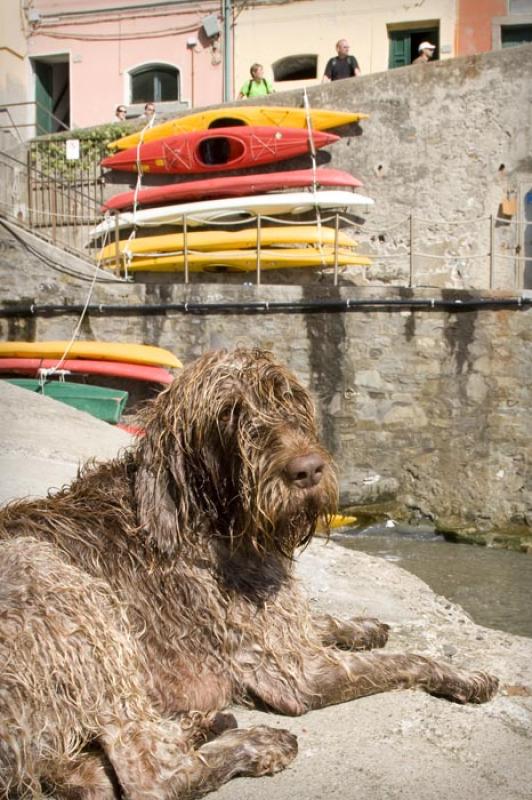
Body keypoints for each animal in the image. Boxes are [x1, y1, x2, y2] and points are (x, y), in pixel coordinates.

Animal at [1, 350, 498, 800]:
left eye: (292, 399)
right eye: (228, 414)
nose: (308, 471)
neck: (212, 519)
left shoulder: (282, 629)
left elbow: (317, 619)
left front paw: (361, 625)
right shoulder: (300, 675)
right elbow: (409, 660)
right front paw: (463, 675)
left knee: (90, 779)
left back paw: (201, 724)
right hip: (64, 587)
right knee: (151, 780)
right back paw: (255, 744)